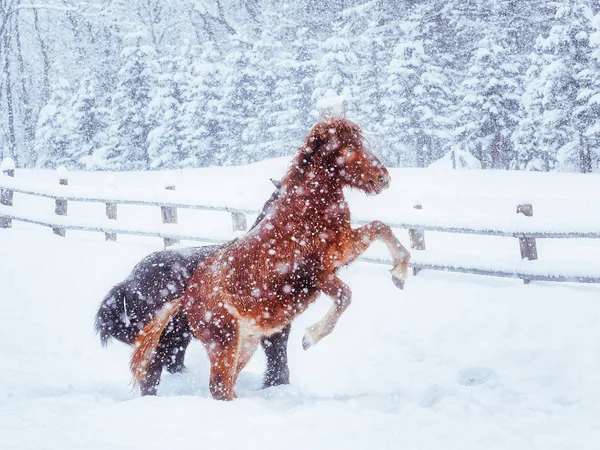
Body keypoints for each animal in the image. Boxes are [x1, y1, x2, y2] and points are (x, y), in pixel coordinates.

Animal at [131, 118, 410, 400]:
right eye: (350, 147)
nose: (384, 178)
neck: (305, 210)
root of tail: (186, 298)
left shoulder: (341, 251)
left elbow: (380, 228)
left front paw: (399, 275)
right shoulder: (313, 272)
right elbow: (345, 295)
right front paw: (310, 338)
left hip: (246, 343)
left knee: (225, 384)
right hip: (223, 342)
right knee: (217, 386)